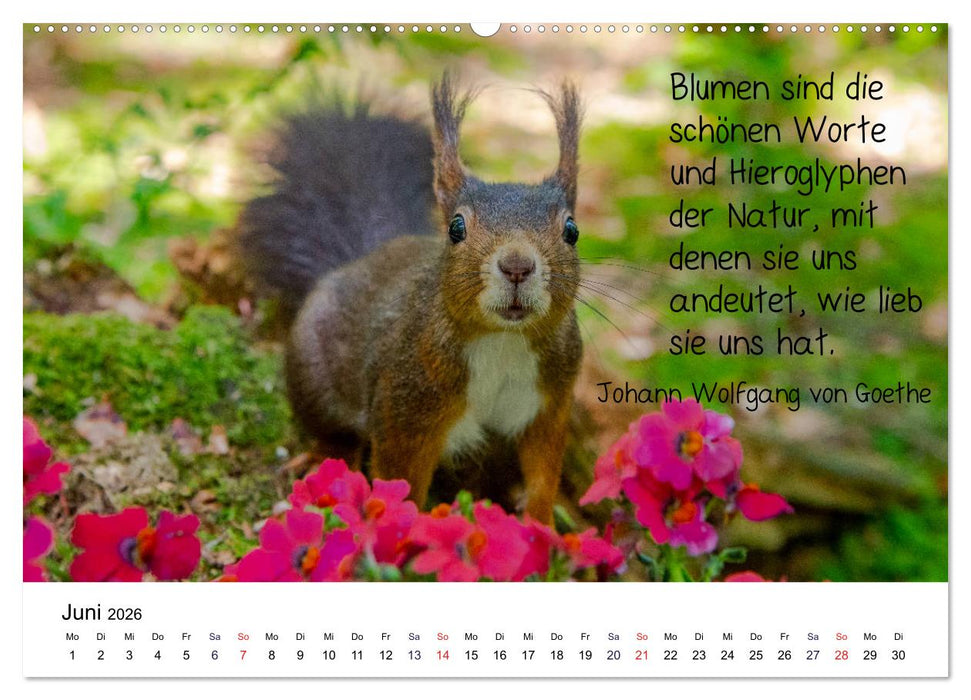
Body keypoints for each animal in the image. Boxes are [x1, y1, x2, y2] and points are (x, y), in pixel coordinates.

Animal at [238, 74, 583, 524]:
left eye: (571, 230)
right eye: (456, 228)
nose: (517, 267)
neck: (503, 341)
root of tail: (359, 260)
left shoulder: (551, 402)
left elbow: (543, 470)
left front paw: (542, 527)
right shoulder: (404, 404)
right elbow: (400, 476)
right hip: (310, 373)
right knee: (331, 430)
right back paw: (325, 456)